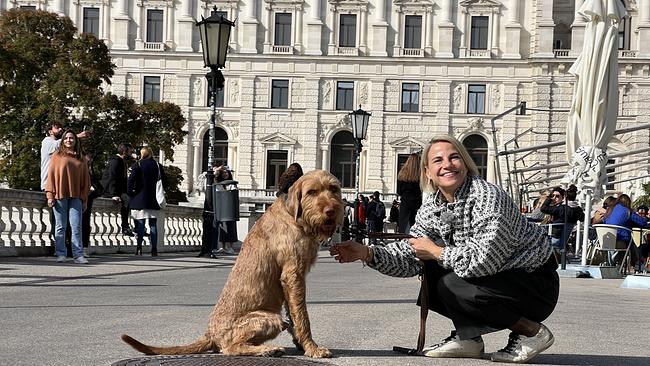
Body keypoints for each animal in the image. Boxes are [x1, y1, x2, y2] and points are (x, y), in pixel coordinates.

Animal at [121, 169, 344, 358]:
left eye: (334, 189)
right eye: (312, 192)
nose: (331, 210)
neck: (294, 216)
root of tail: (210, 334)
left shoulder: (291, 281)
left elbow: (295, 314)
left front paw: (301, 344)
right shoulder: (293, 275)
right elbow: (302, 317)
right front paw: (312, 348)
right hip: (270, 318)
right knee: (229, 348)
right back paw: (267, 350)